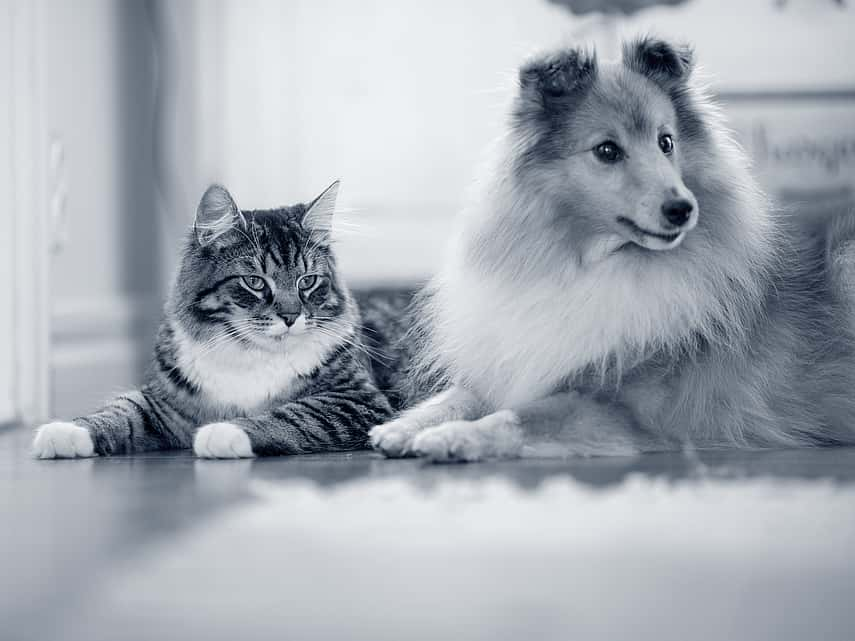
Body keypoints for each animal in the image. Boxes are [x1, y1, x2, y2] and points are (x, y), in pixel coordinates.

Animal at [30, 182, 412, 458]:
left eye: (307, 282)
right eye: (255, 282)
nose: (291, 316)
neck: (251, 355)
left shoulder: (356, 400)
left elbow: (292, 415)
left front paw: (226, 432)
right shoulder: (164, 402)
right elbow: (120, 409)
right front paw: (65, 431)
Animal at [372, 36, 855, 460]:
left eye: (666, 142)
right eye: (607, 150)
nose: (682, 209)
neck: (592, 264)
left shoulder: (620, 407)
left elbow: (519, 415)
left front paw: (451, 438)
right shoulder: (523, 359)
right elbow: (462, 395)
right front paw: (402, 427)